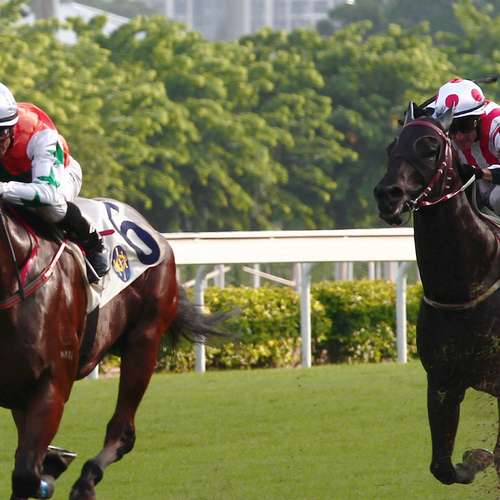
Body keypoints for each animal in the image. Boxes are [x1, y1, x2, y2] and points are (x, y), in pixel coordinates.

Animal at [0, 199, 229, 499]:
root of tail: (151, 230)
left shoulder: (51, 384)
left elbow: (26, 473)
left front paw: (52, 469)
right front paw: (54, 461)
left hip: (143, 341)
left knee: (123, 430)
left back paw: (85, 482)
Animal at [373, 103, 500, 485]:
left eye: (429, 148)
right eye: (391, 147)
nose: (388, 194)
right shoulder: (442, 382)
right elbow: (442, 468)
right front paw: (475, 458)